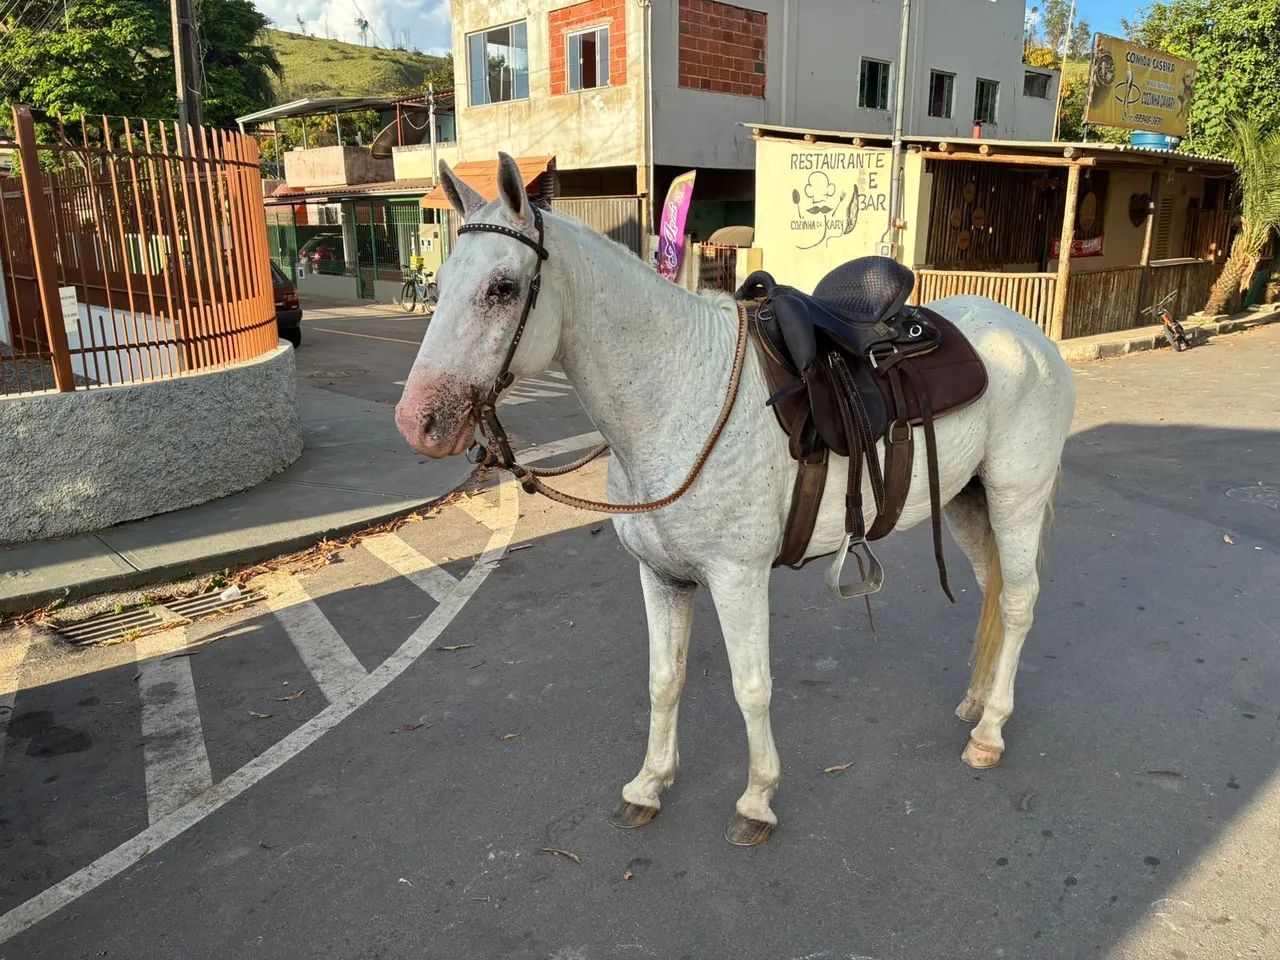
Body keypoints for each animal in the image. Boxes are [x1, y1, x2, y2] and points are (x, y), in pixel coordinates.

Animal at [395, 153, 1077, 845]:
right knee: (992, 585)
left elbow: (751, 687)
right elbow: (664, 679)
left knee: (1018, 601)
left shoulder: (737, 578)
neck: (677, 397)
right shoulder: (661, 577)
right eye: (442, 281)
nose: (419, 421)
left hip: (1015, 497)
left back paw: (990, 731)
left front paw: (757, 798)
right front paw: (649, 784)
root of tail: (1028, 336)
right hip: (966, 500)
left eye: (503, 288)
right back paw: (976, 700)